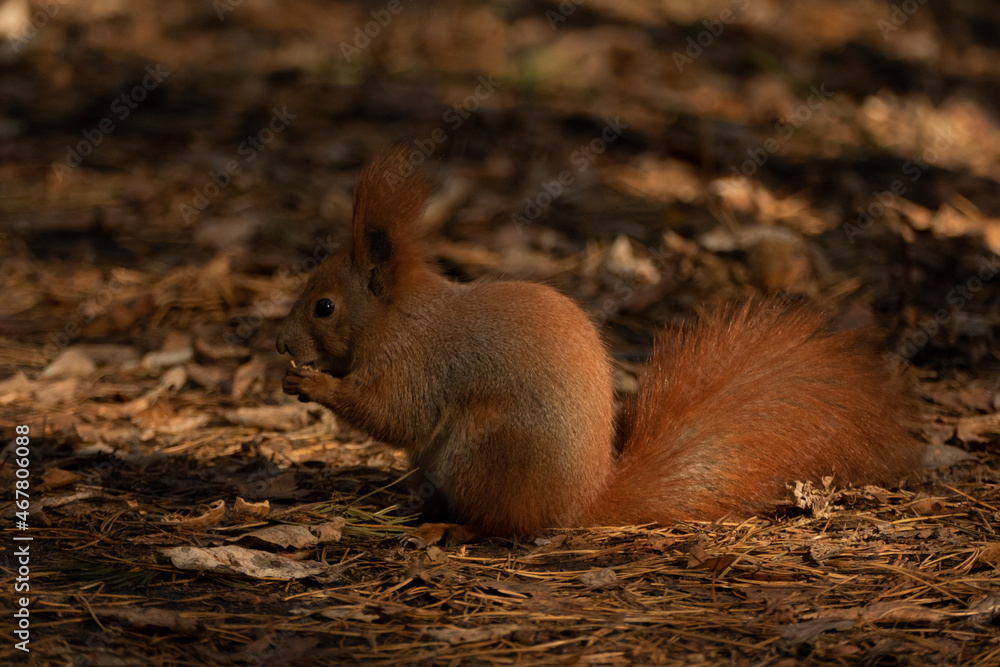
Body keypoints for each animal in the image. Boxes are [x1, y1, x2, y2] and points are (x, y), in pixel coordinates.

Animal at [276, 146, 920, 537]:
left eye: (324, 306)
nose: (281, 343)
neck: (401, 317)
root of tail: (581, 503)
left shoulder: (421, 364)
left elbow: (393, 413)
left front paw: (313, 384)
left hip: (483, 451)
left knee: (500, 522)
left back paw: (449, 524)